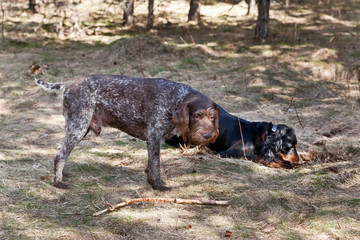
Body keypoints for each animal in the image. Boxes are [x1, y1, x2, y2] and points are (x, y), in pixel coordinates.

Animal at [35, 74, 219, 190]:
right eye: (197, 116)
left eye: (212, 116)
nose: (208, 135)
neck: (175, 100)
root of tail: (67, 84)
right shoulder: (154, 138)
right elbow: (156, 166)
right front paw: (157, 186)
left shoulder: (153, 141)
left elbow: (151, 165)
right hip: (78, 127)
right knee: (60, 156)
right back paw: (58, 182)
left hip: (80, 128)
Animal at [166, 105, 300, 169]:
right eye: (289, 147)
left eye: (296, 146)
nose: (298, 161)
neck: (261, 136)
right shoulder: (229, 152)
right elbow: (257, 157)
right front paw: (278, 164)